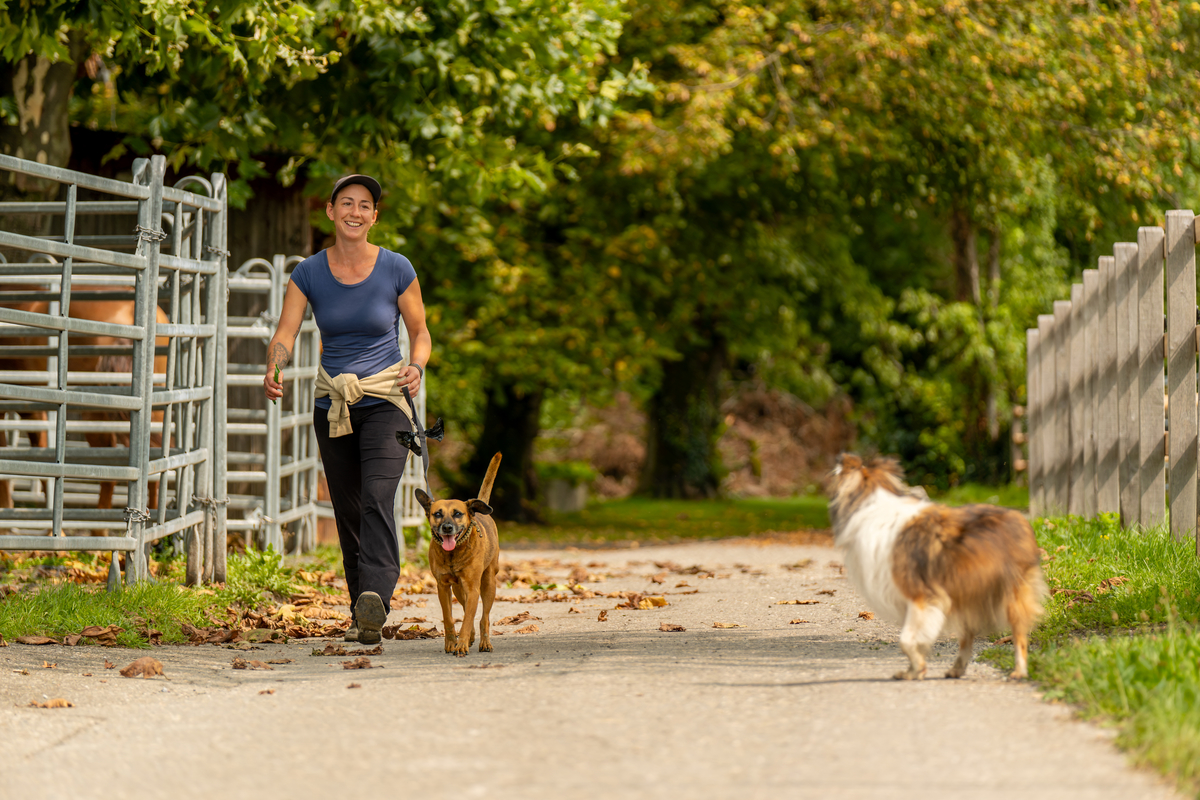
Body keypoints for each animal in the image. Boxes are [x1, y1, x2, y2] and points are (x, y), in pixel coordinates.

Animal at [417, 453, 501, 652]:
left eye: (457, 514)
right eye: (437, 514)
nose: (447, 528)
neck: (453, 554)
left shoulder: (473, 587)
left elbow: (468, 619)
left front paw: (461, 644)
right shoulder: (443, 587)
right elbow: (449, 618)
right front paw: (451, 642)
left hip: (488, 583)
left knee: (484, 617)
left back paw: (484, 641)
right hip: (457, 588)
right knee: (465, 609)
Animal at [830, 453, 1046, 681]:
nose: (839, 457)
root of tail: (1021, 519)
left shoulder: (921, 596)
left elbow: (906, 641)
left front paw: (916, 668)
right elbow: (912, 640)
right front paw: (914, 670)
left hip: (1010, 593)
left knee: (1019, 635)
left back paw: (1018, 671)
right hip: (968, 593)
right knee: (967, 638)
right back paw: (956, 669)